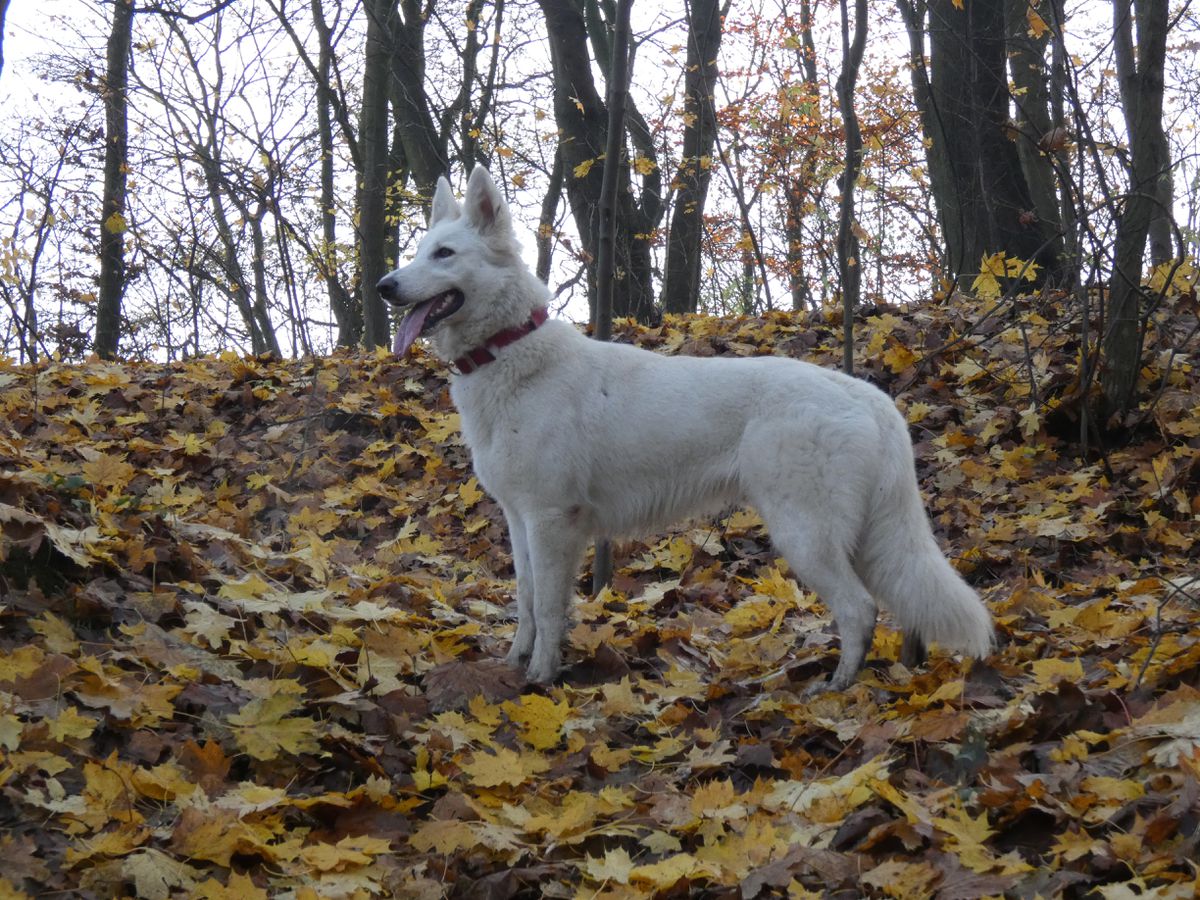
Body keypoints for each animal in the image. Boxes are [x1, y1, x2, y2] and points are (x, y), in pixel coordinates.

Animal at [376, 165, 993, 696]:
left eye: (444, 254)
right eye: (417, 252)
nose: (384, 285)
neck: (509, 351)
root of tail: (871, 398)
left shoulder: (552, 522)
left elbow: (550, 610)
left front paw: (543, 678)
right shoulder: (519, 520)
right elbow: (525, 602)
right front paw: (513, 663)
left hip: (804, 534)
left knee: (860, 610)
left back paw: (836, 688)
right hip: (856, 537)